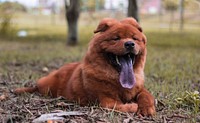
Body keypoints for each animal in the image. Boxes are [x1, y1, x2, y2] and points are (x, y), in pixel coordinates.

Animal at [15, 17, 156, 116]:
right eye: (116, 38)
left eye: (135, 38)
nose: (130, 44)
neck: (117, 78)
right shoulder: (105, 99)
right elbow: (120, 106)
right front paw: (133, 106)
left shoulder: (139, 89)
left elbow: (147, 95)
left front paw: (146, 108)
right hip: (47, 87)